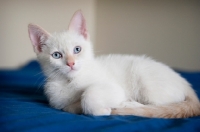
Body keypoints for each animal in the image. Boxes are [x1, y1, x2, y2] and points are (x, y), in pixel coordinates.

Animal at [28, 10, 200, 117]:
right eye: (57, 55)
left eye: (77, 49)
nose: (71, 63)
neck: (70, 82)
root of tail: (185, 83)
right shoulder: (57, 102)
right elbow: (67, 107)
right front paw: (80, 107)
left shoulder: (114, 88)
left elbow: (88, 95)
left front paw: (102, 110)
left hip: (147, 84)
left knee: (156, 106)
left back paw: (128, 105)